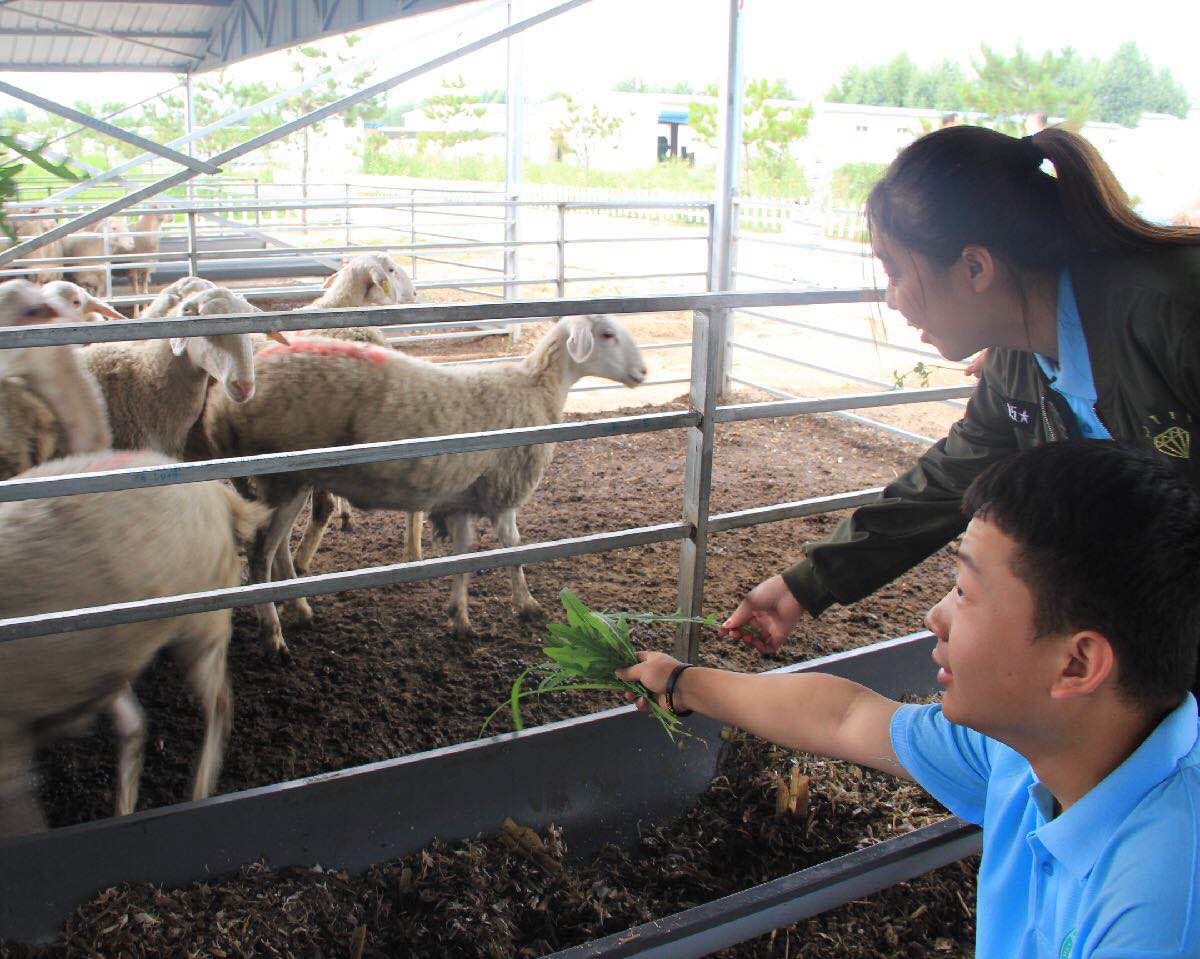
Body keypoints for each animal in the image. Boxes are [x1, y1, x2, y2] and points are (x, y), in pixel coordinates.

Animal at [0, 450, 269, 838]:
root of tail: (219, 495)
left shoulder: (9, 735)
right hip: (109, 657)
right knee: (134, 725)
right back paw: (124, 809)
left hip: (203, 623)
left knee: (218, 702)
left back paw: (198, 789)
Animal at [203, 313, 648, 657]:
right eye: (608, 334)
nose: (644, 372)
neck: (536, 388)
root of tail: (222, 406)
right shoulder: (502, 490)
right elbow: (513, 548)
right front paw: (526, 605)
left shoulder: (465, 498)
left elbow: (465, 553)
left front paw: (460, 617)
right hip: (283, 475)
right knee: (261, 555)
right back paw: (273, 635)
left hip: (286, 480)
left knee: (276, 549)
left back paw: (299, 610)